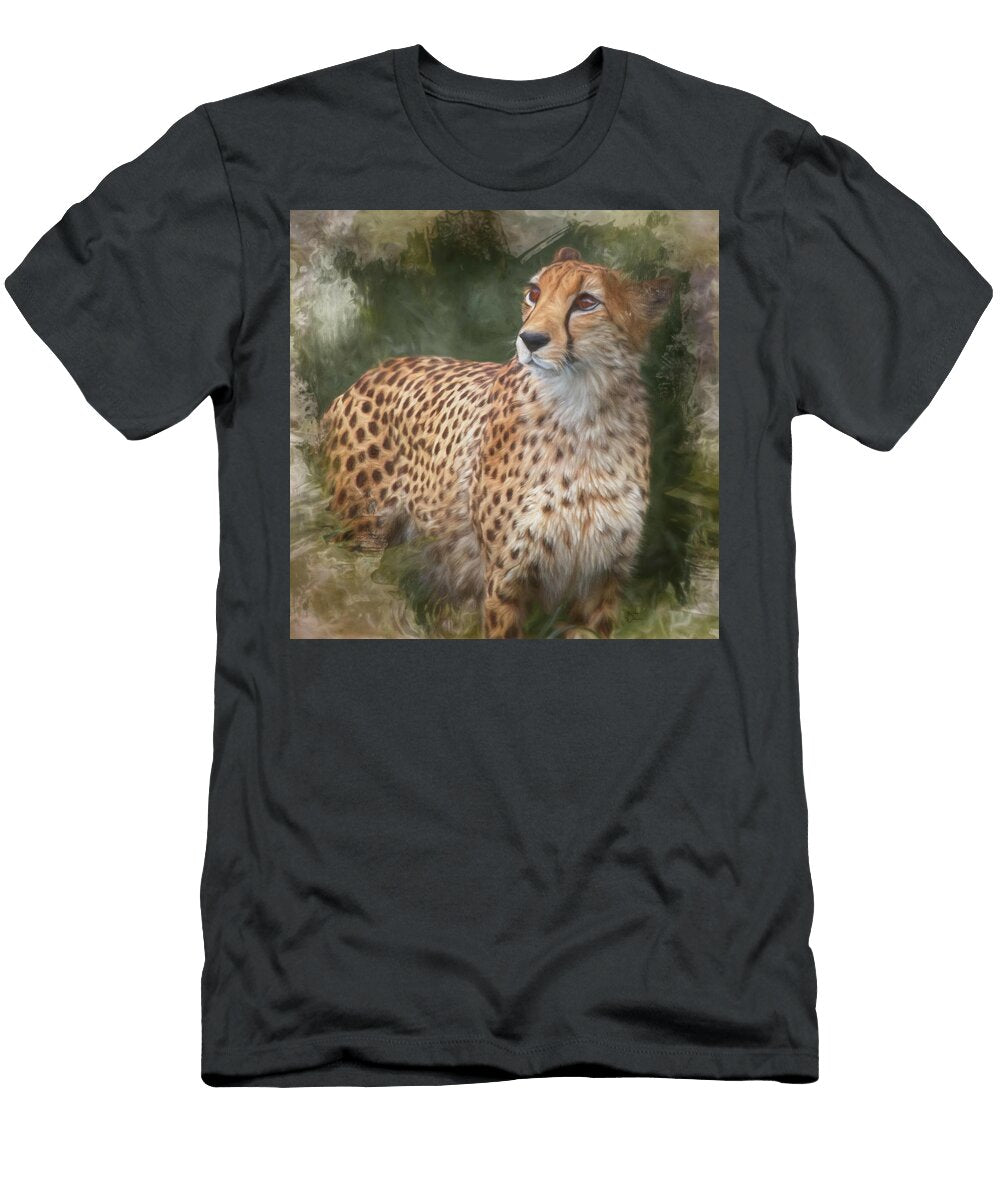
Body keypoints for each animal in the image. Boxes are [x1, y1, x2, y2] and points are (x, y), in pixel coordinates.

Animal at [319, 246, 675, 638]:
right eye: (534, 294)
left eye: (586, 302)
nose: (530, 339)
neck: (582, 413)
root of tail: (372, 371)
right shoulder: (505, 578)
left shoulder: (601, 581)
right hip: (362, 532)